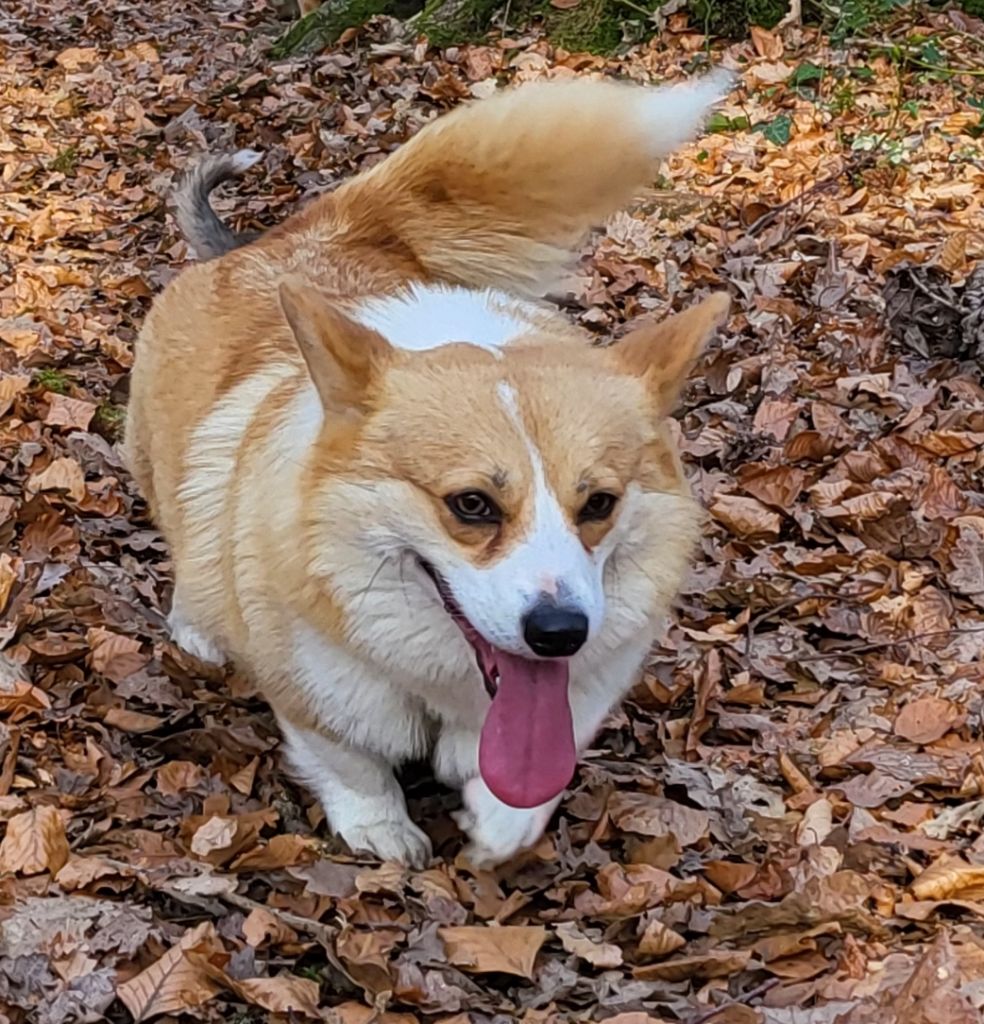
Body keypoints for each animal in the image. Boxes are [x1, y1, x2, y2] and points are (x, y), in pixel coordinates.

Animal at [124, 72, 729, 868]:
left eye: (598, 503)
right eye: (470, 504)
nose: (560, 633)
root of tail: (277, 240)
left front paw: (500, 823)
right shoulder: (315, 693)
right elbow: (350, 762)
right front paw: (381, 828)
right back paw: (197, 625)